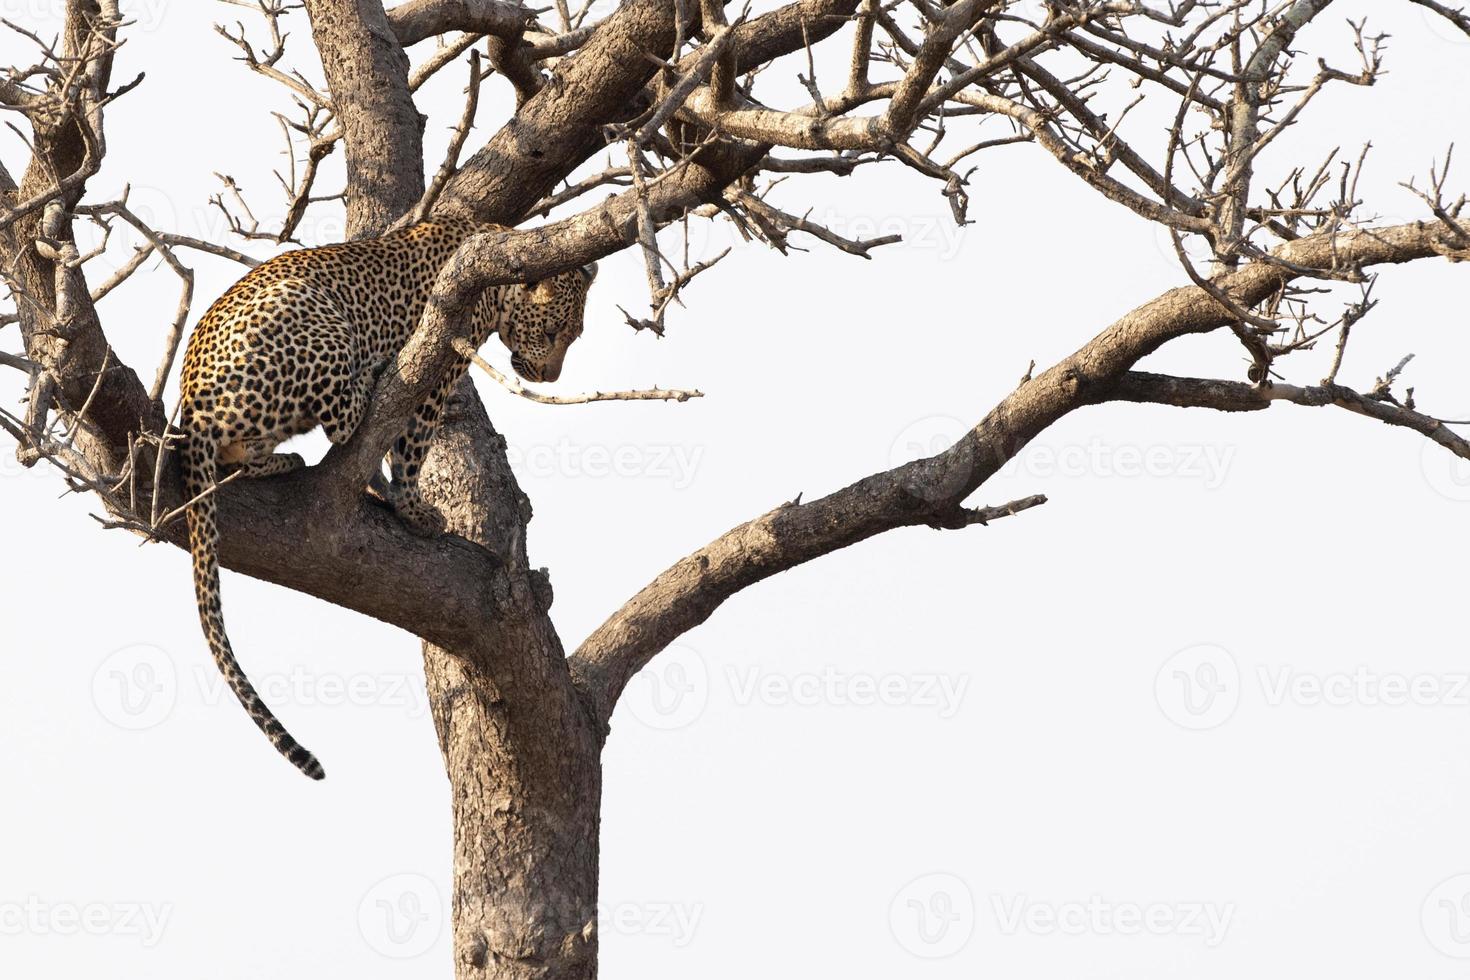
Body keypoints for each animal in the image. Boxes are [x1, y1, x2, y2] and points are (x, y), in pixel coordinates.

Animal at [176, 218, 596, 775]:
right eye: (551, 333)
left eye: (574, 336)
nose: (550, 376)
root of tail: (191, 404)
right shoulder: (438, 374)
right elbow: (411, 451)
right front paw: (414, 510)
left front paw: (381, 489)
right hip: (312, 316)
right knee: (339, 418)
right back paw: (371, 373)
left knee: (241, 453)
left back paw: (285, 460)